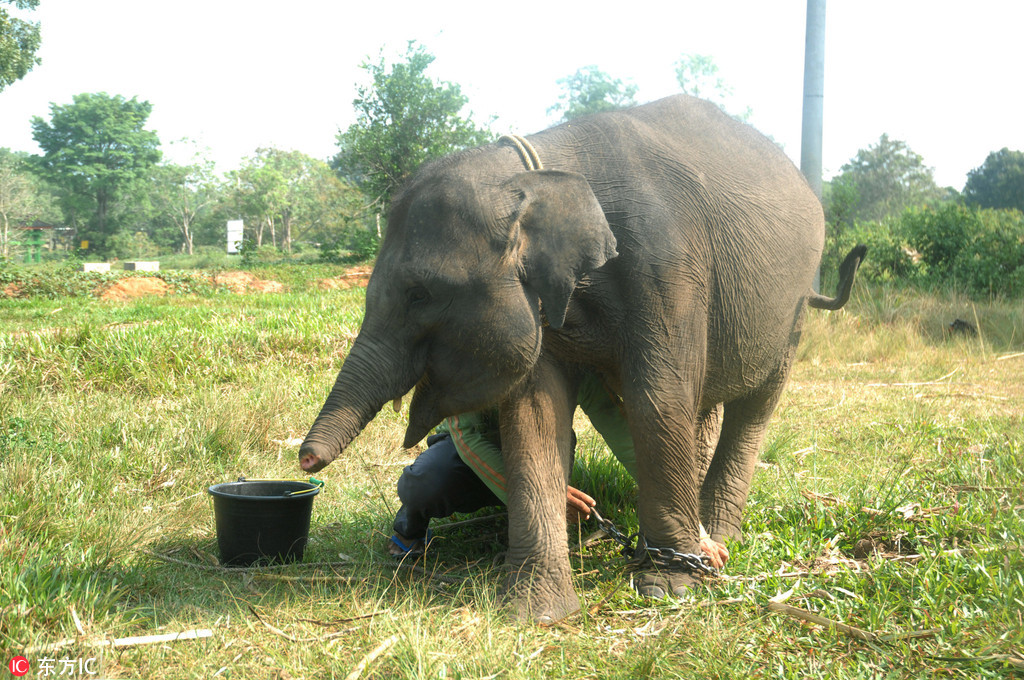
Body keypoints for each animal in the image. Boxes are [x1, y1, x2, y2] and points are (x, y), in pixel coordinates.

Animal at [298, 94, 865, 622]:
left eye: (420, 294)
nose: (304, 461)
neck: (538, 174)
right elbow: (534, 417)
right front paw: (536, 612)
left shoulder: (668, 265)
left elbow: (656, 403)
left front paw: (671, 587)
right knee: (702, 405)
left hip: (792, 307)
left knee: (753, 405)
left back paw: (716, 537)